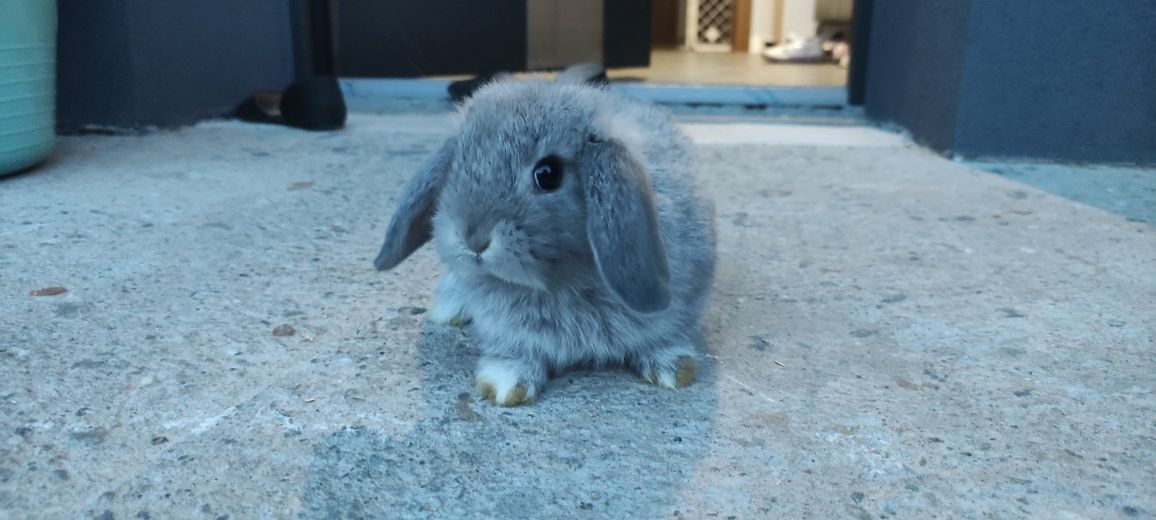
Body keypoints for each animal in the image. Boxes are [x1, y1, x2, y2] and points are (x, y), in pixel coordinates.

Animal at [374, 68, 712, 406]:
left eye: (547, 174)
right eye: (456, 166)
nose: (472, 239)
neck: (562, 279)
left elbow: (662, 337)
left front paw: (674, 368)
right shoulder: (507, 330)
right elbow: (515, 352)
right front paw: (504, 386)